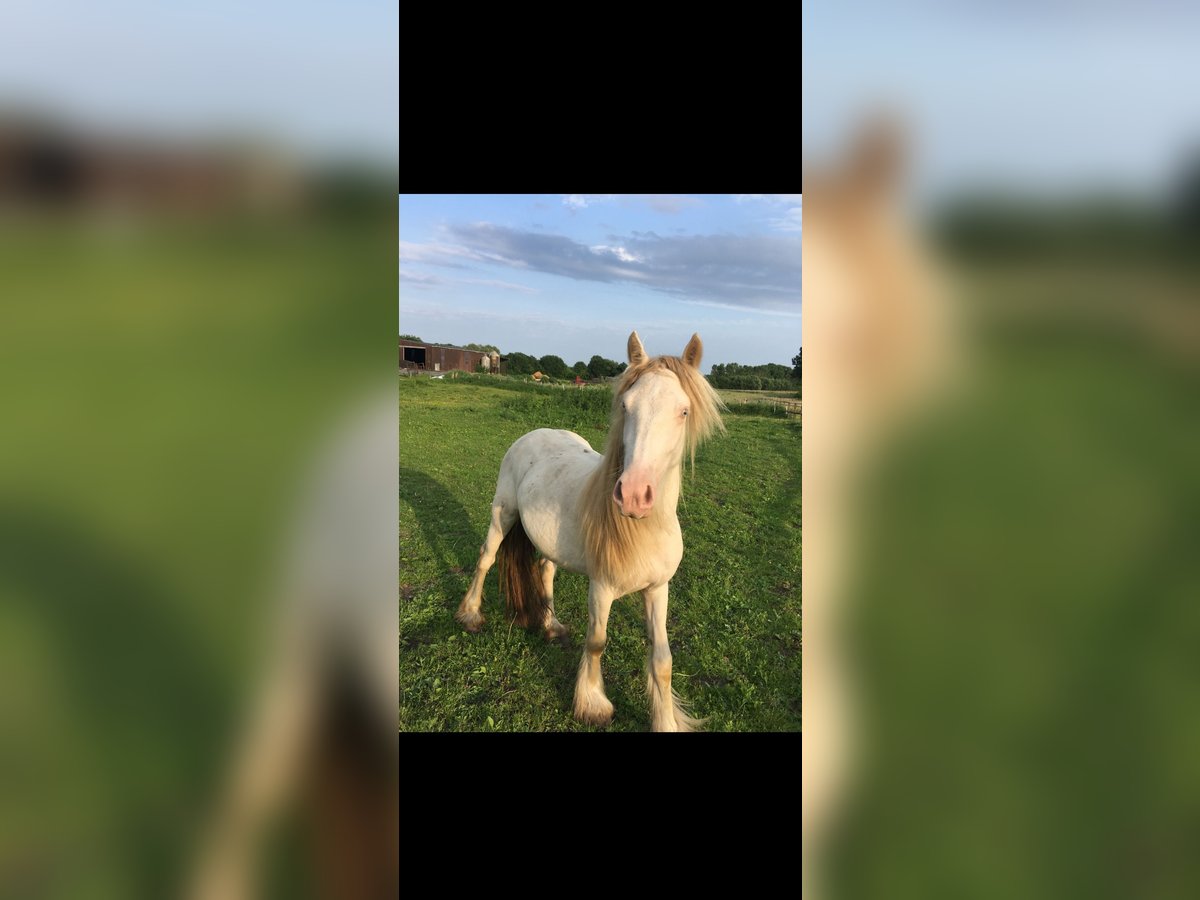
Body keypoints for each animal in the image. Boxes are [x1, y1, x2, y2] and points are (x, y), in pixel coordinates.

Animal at [456, 331, 720, 734]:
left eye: (684, 411)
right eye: (626, 405)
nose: (633, 494)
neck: (645, 529)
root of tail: (536, 433)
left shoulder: (658, 589)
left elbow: (662, 660)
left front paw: (664, 720)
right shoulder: (602, 587)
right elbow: (597, 642)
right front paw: (593, 704)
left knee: (544, 570)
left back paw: (550, 625)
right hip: (503, 513)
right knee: (486, 559)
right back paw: (470, 615)